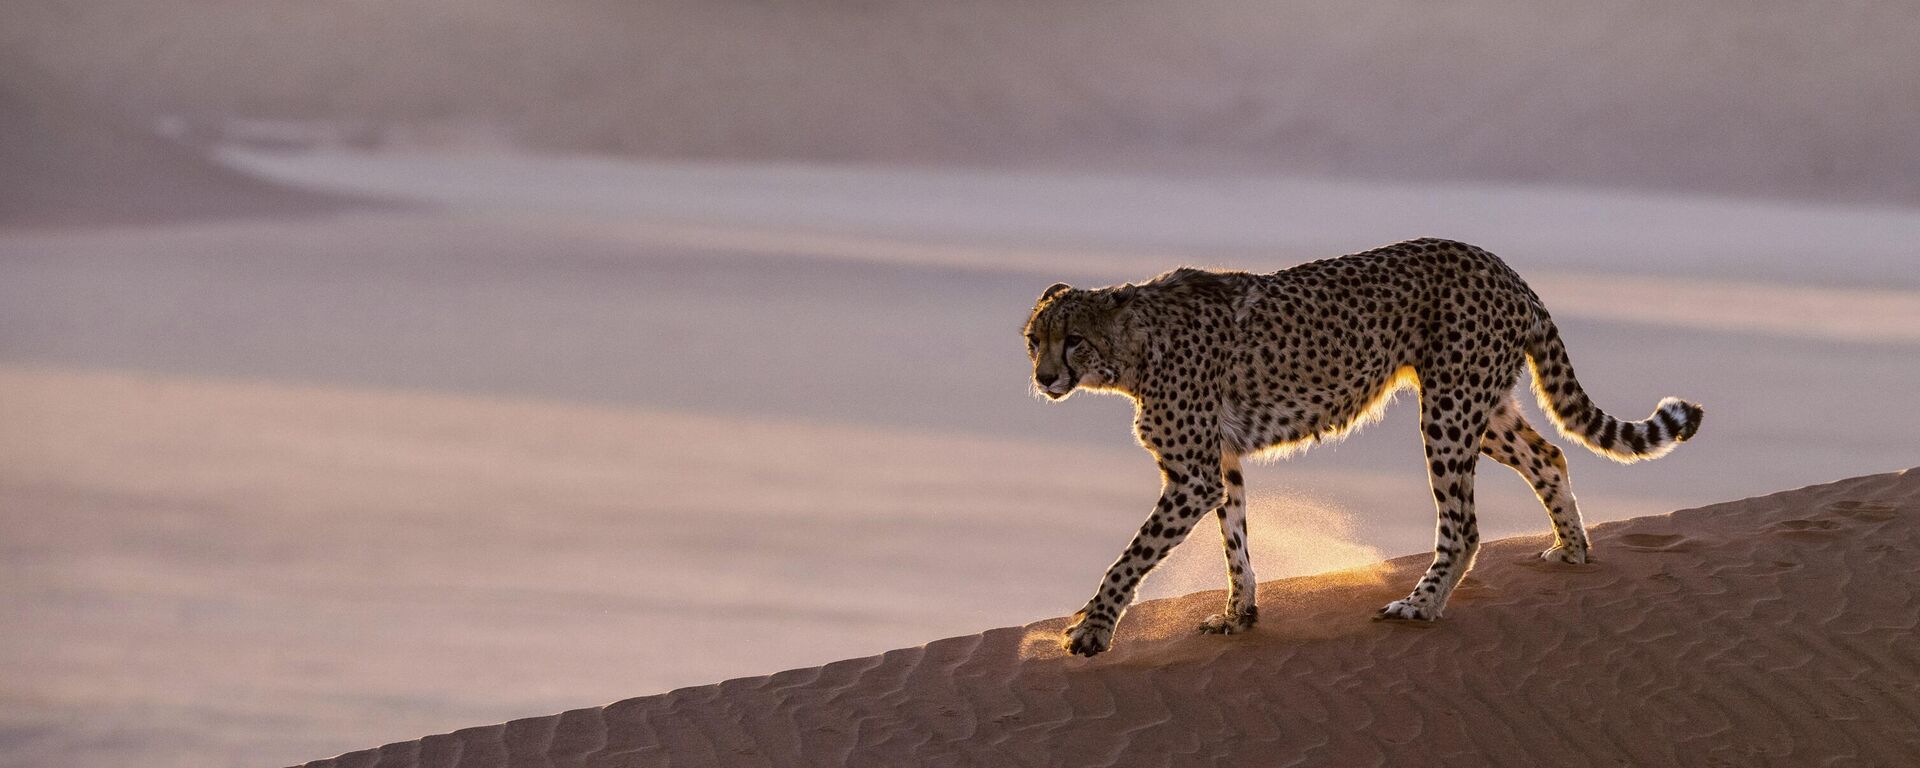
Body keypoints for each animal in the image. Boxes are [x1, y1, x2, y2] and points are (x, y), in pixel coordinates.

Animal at [1029, 238, 1704, 652]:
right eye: (1035, 340)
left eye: (1073, 340)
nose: (1043, 377)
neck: (1133, 347)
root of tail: (1501, 266)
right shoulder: (1220, 464)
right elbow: (1234, 540)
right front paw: (1239, 614)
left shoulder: (1192, 476)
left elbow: (1132, 555)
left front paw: (1092, 630)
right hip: (1481, 407)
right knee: (1550, 455)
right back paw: (1571, 548)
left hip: (1449, 410)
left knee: (1463, 525)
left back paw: (1421, 604)